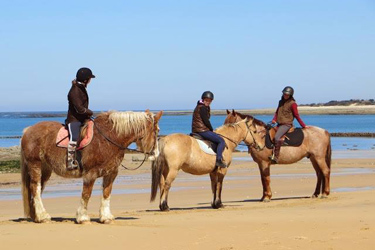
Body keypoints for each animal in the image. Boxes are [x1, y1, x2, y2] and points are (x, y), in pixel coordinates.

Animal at [20, 110, 162, 224]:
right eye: (157, 131)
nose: (156, 154)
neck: (109, 138)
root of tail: (28, 130)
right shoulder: (90, 174)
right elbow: (86, 194)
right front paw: (82, 217)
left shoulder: (111, 173)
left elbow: (106, 193)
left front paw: (106, 217)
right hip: (35, 164)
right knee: (35, 188)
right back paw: (43, 216)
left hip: (45, 169)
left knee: (38, 189)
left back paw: (36, 216)